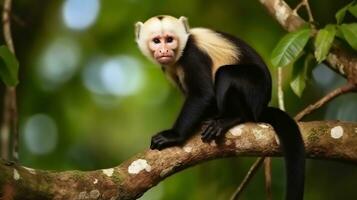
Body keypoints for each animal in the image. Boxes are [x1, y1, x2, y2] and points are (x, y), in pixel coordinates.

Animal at [135, 14, 304, 199]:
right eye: (157, 41)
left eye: (169, 40)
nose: (164, 50)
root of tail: (261, 107)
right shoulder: (167, 68)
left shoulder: (192, 55)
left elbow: (203, 95)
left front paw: (174, 136)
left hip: (255, 90)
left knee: (226, 74)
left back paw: (232, 118)